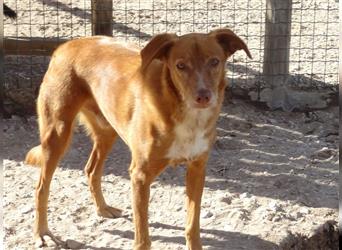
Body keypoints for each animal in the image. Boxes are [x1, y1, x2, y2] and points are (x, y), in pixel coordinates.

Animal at [25, 28, 251, 248]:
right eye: (180, 65)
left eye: (215, 61)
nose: (203, 96)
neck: (186, 115)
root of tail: (68, 44)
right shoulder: (140, 176)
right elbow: (143, 237)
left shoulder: (197, 168)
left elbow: (192, 225)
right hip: (57, 133)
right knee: (41, 188)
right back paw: (42, 233)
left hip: (107, 130)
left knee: (91, 170)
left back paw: (102, 208)